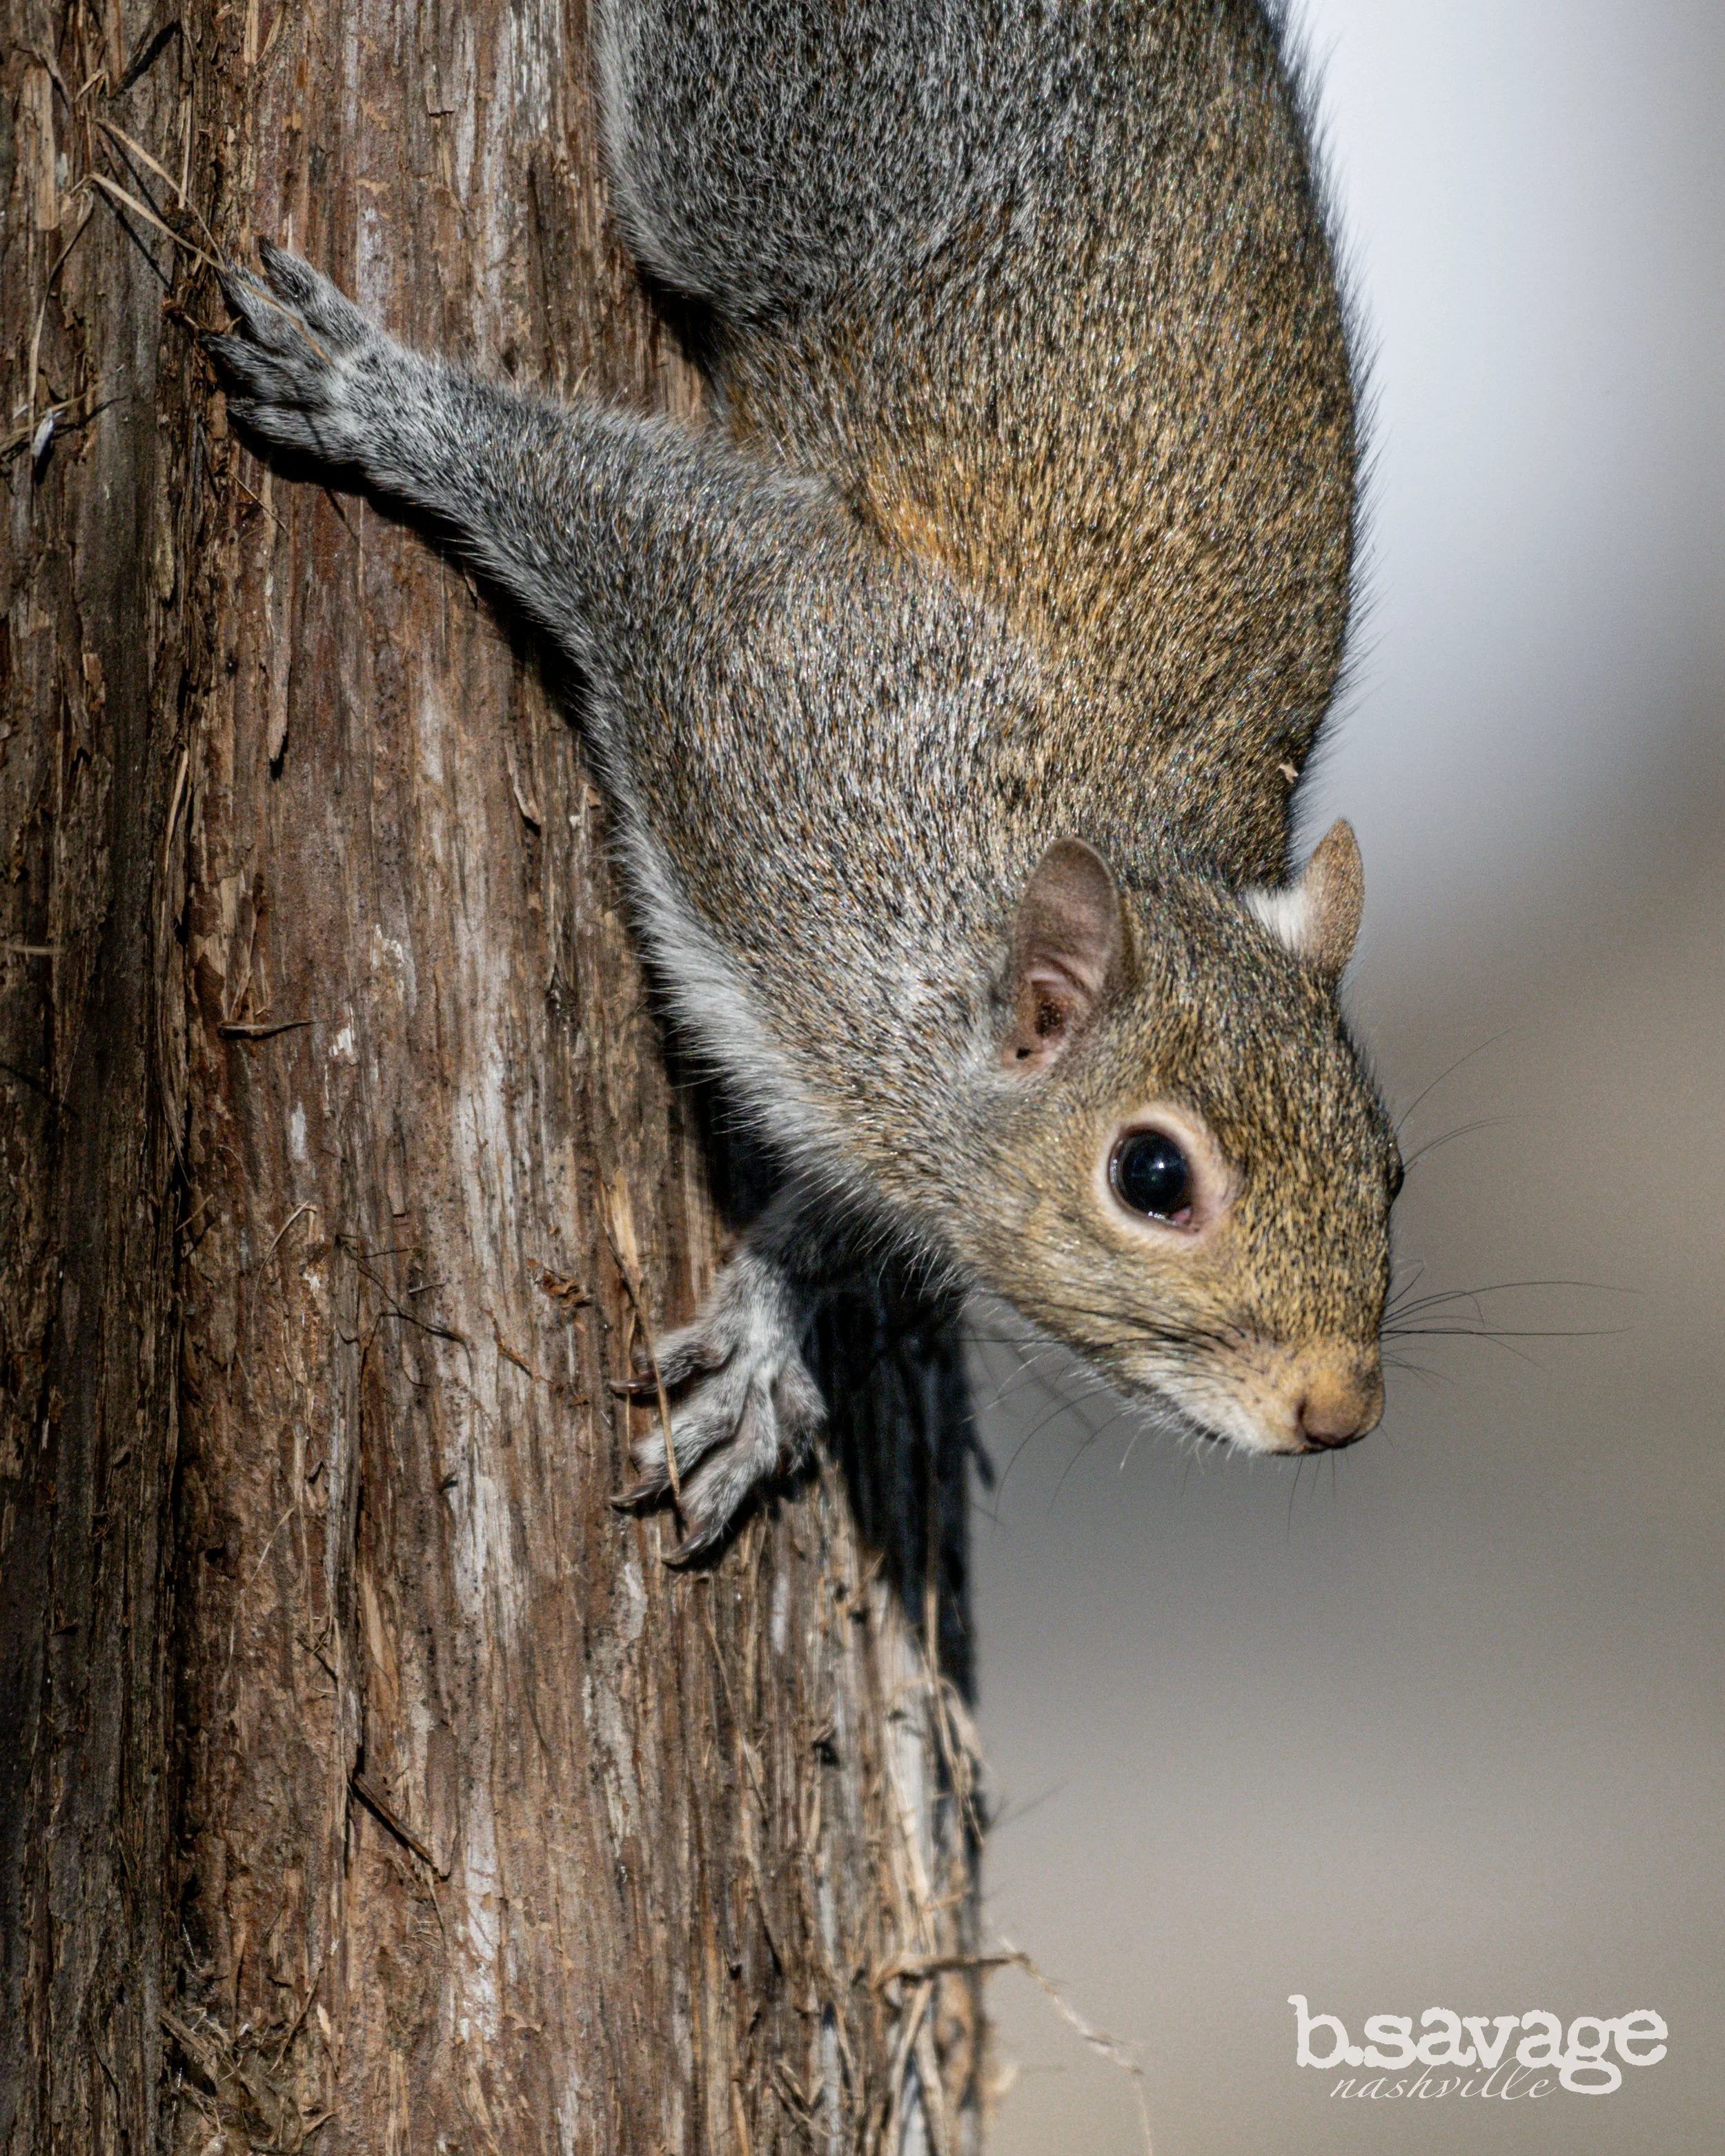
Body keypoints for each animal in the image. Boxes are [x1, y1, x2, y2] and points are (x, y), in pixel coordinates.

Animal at [207, 0, 1403, 1560]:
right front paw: (378, 398)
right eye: (1153, 1177)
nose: (1341, 1411)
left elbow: (835, 1216)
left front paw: (766, 1346)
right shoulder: (772, 673)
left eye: (1388, 1163)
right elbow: (607, 507)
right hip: (787, 145)